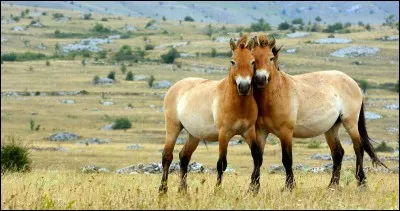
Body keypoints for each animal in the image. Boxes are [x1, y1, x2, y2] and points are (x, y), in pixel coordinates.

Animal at [158, 35, 264, 195]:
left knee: (184, 156)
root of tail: (176, 86)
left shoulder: (248, 131)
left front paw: (255, 189)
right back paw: (163, 190)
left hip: (194, 135)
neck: (237, 104)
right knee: (167, 156)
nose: (244, 87)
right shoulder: (224, 135)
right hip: (173, 127)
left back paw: (183, 190)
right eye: (232, 61)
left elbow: (257, 157)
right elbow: (221, 164)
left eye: (252, 62)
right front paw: (218, 190)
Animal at [252, 34, 386, 190]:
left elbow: (287, 159)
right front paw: (253, 188)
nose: (260, 79)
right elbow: (258, 158)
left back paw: (361, 183)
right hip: (331, 128)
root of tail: (354, 83)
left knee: (358, 149)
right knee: (338, 153)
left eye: (271, 58)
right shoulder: (261, 132)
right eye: (253, 58)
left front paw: (289, 187)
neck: (277, 93)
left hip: (350, 123)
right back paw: (332, 186)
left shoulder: (286, 133)